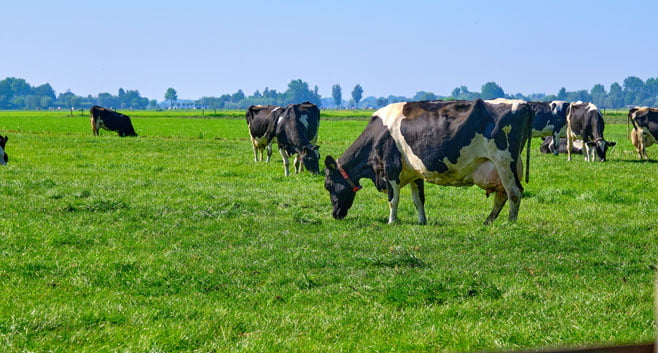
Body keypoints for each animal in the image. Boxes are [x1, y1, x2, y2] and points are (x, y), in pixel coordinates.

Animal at [322, 98, 532, 226]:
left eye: (328, 185)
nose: (335, 214)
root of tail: (522, 104)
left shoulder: (391, 168)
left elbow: (393, 199)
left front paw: (392, 221)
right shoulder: (415, 172)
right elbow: (418, 200)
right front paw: (422, 221)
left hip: (504, 161)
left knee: (514, 192)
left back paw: (510, 223)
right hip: (501, 166)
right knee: (502, 195)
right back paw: (488, 221)